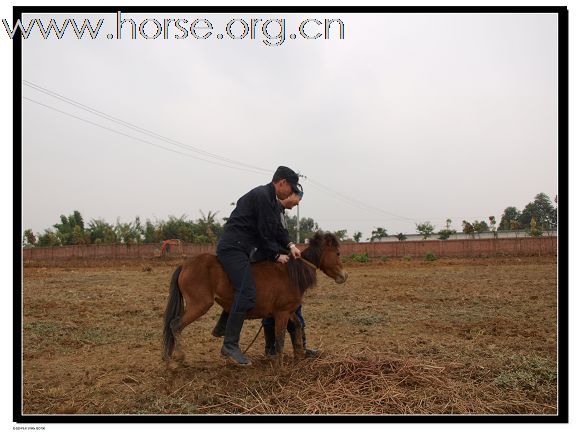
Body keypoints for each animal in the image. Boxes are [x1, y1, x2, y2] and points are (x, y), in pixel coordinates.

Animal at [161, 233, 346, 366]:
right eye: (337, 253)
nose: (344, 276)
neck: (291, 274)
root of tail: (185, 265)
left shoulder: (288, 311)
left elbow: (298, 327)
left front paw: (300, 354)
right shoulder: (282, 313)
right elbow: (280, 338)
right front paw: (280, 367)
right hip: (199, 305)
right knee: (175, 325)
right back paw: (178, 358)